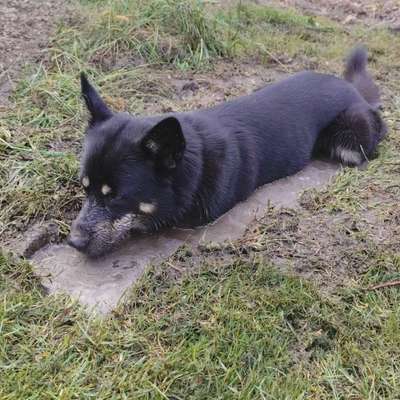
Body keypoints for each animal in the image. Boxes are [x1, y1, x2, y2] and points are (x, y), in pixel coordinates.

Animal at [69, 46, 388, 256]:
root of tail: (354, 91)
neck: (192, 162)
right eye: (84, 188)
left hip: (351, 140)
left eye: (116, 197)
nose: (73, 242)